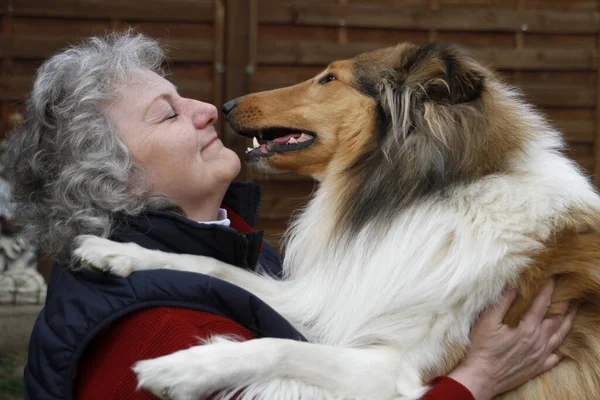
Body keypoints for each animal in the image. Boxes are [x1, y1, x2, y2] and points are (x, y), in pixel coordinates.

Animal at [77, 42, 600, 398]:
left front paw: (182, 368)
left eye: (330, 79)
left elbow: (279, 347)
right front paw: (111, 251)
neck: (421, 196)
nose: (223, 107)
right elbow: (212, 266)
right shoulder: (329, 295)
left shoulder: (398, 366)